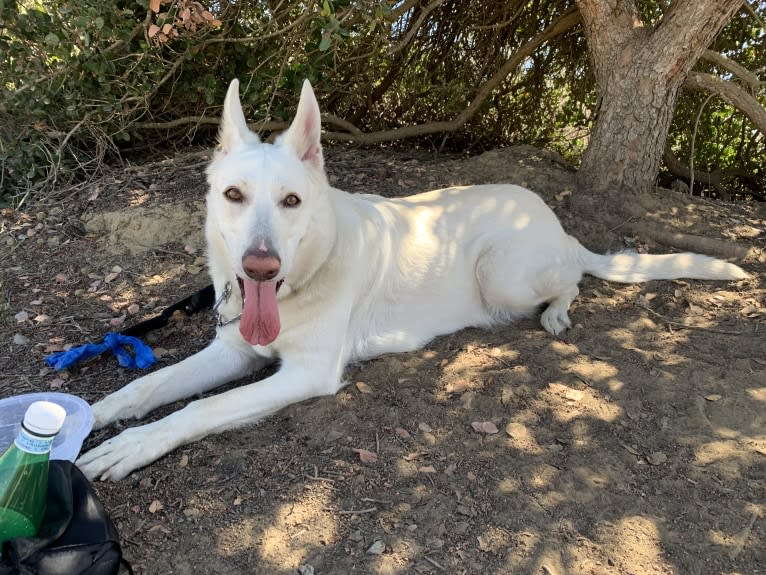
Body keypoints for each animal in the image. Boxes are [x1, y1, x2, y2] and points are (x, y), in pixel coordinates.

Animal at [78, 77, 752, 482]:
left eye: (292, 201)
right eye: (234, 196)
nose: (258, 267)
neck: (301, 282)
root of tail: (552, 220)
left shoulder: (304, 374)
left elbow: (198, 409)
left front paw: (133, 445)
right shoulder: (235, 351)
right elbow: (143, 389)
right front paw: (92, 417)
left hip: (501, 275)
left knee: (572, 279)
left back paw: (559, 310)